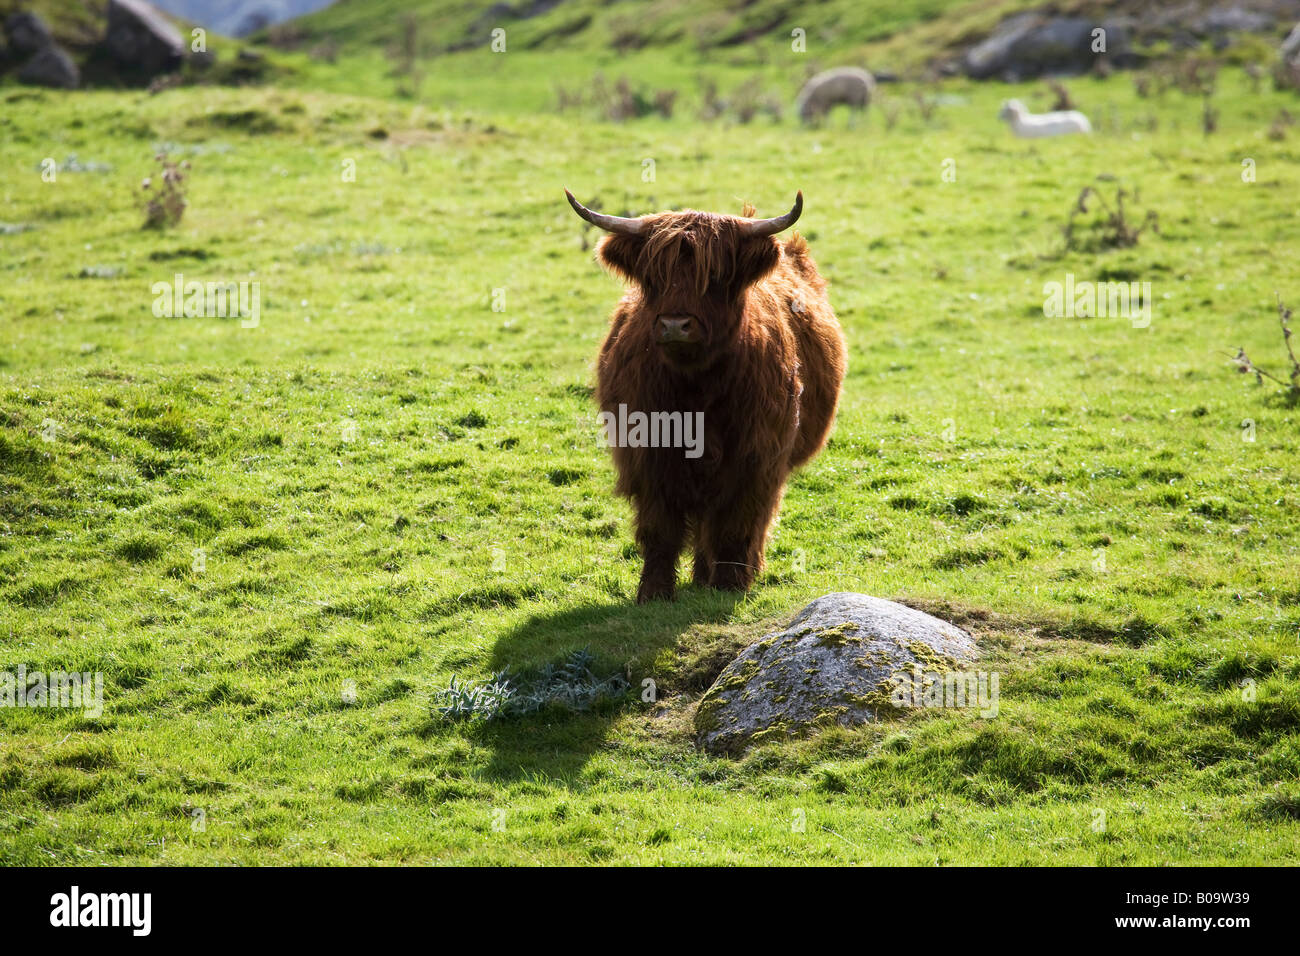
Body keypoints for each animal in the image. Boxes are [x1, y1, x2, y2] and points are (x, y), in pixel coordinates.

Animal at [566, 189, 846, 603]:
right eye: (655, 276)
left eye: (714, 277)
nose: (674, 325)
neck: (697, 390)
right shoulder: (649, 455)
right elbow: (660, 529)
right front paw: (654, 592)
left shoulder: (755, 457)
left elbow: (736, 526)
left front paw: (729, 585)